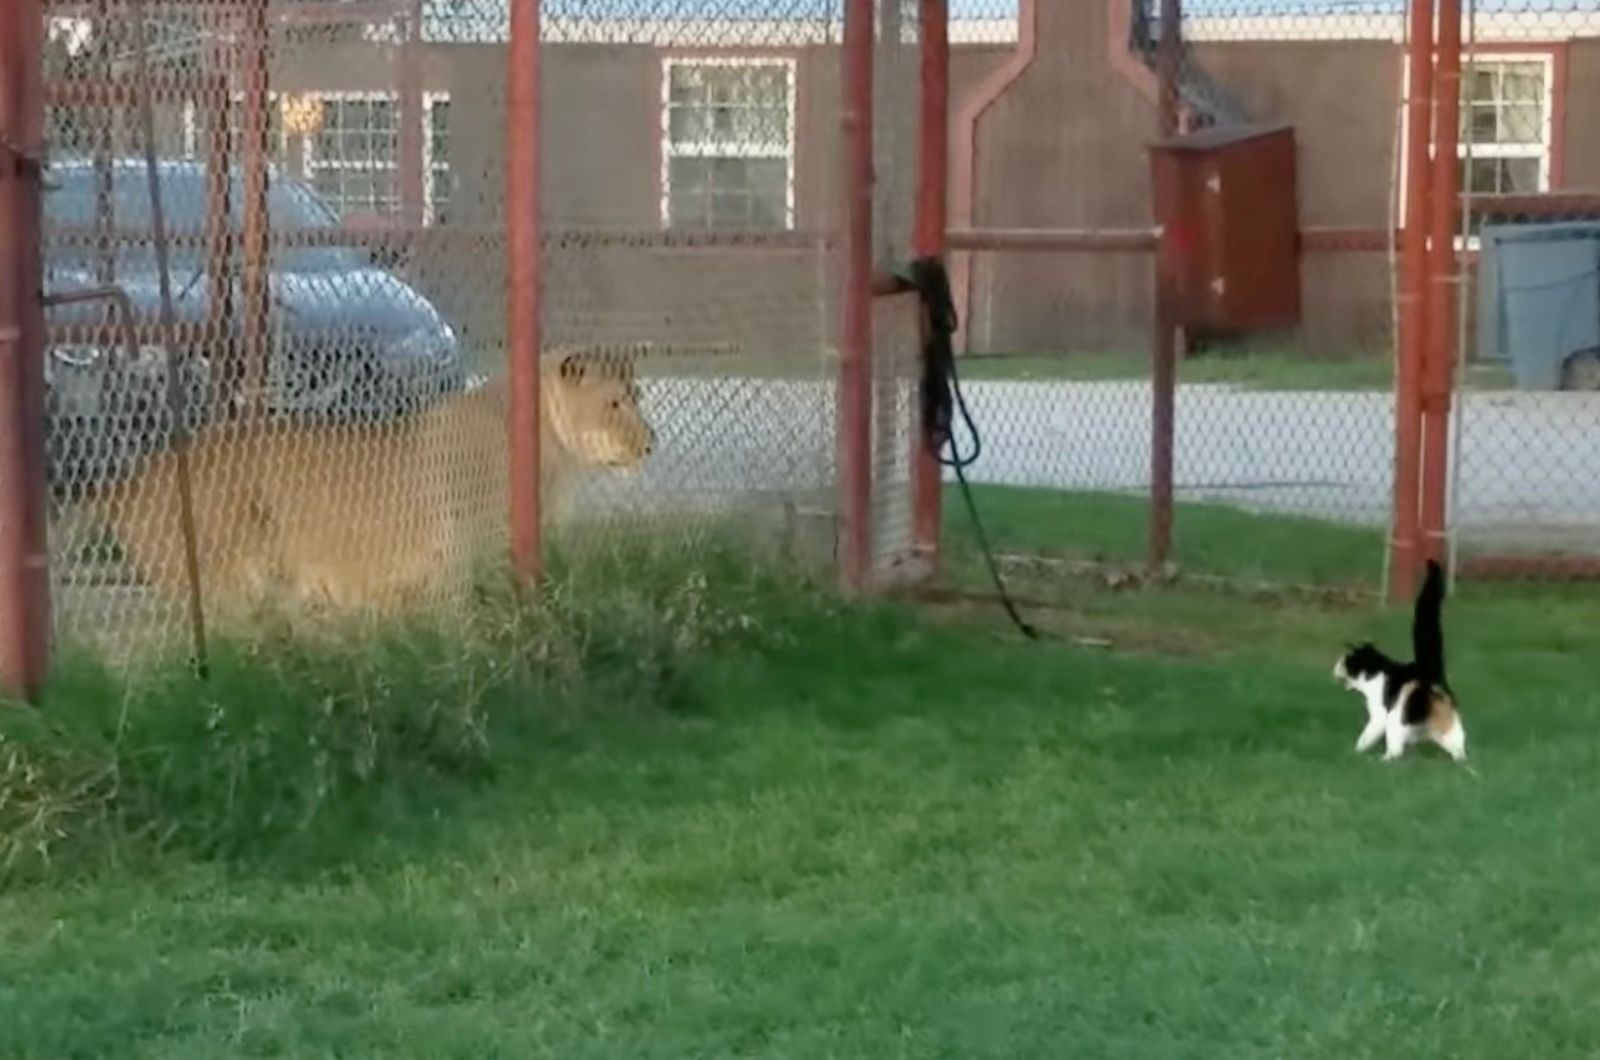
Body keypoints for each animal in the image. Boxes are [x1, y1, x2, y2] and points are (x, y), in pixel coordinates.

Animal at [1331, 557, 1465, 765]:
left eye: (1343, 661)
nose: (1334, 667)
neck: (1375, 670)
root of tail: (1429, 672)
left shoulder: (1379, 715)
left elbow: (1365, 737)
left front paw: (1355, 752)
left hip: (1396, 718)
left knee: (1395, 750)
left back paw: (1383, 761)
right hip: (1446, 721)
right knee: (1457, 743)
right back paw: (1463, 765)